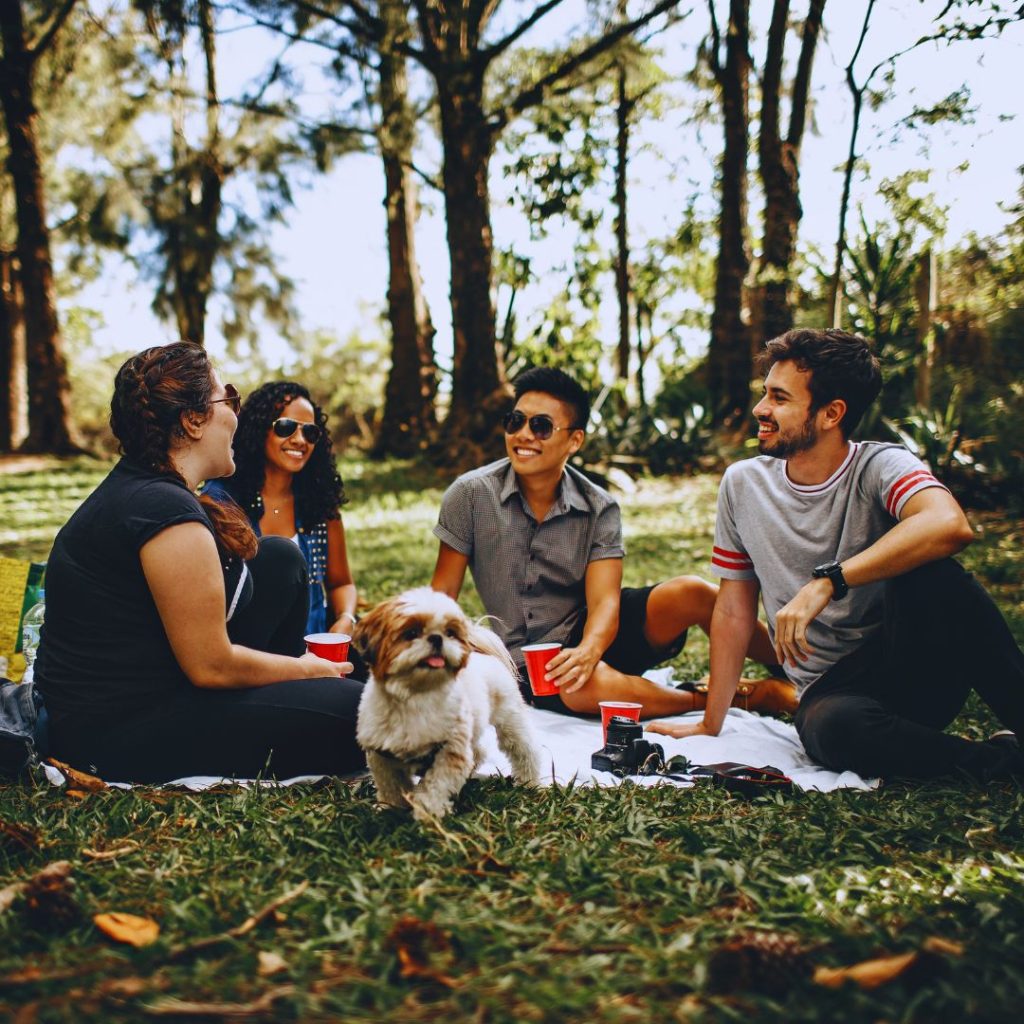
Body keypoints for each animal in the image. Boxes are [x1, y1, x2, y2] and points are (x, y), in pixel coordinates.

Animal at [354, 589, 544, 819]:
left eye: (450, 633)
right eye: (411, 633)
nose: (437, 638)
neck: (416, 696)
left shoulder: (450, 751)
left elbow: (435, 786)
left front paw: (427, 812)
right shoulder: (382, 755)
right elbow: (390, 785)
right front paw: (390, 808)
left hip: (509, 719)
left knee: (525, 750)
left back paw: (529, 782)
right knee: (478, 752)